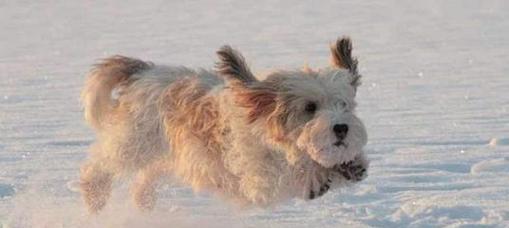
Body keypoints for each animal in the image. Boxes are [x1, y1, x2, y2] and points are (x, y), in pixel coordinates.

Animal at [79, 36, 368, 213]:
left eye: (344, 104)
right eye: (310, 107)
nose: (341, 128)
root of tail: (144, 71)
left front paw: (351, 165)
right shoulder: (259, 179)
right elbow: (292, 173)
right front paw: (317, 175)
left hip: (167, 152)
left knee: (146, 176)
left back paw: (144, 200)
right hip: (134, 141)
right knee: (99, 166)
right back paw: (94, 196)